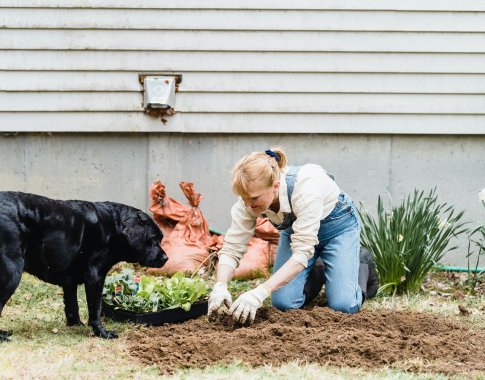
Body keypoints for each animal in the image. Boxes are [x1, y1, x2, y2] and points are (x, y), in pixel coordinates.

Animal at [0, 191, 167, 340]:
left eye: (161, 239)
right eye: (153, 239)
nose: (166, 258)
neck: (115, 227)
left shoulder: (70, 281)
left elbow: (72, 305)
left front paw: (75, 325)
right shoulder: (96, 277)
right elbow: (96, 308)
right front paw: (102, 333)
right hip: (12, 273)